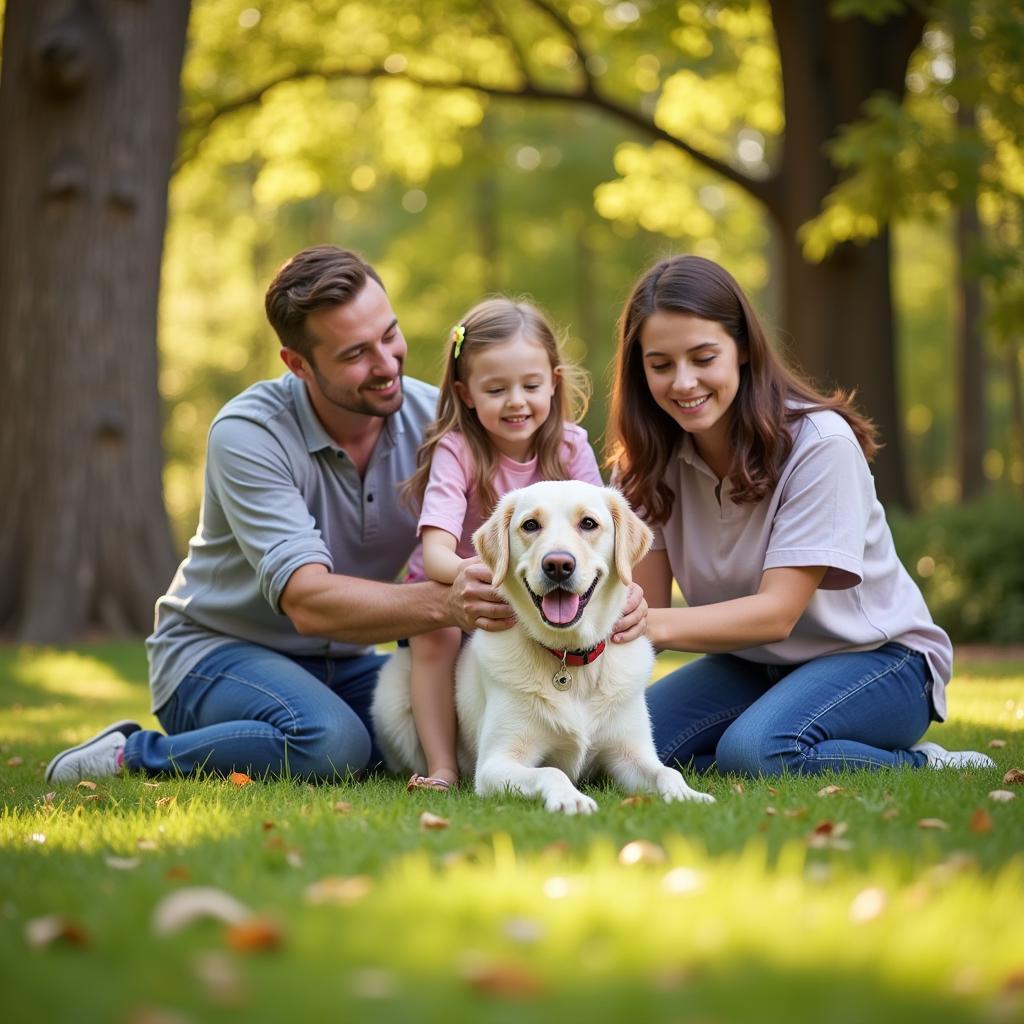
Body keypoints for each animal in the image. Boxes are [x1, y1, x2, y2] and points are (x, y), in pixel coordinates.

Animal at [372, 479, 716, 815]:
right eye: (530, 525)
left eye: (588, 523)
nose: (558, 565)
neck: (569, 657)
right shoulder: (496, 761)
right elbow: (552, 771)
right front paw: (571, 799)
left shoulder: (630, 753)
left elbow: (667, 771)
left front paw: (688, 794)